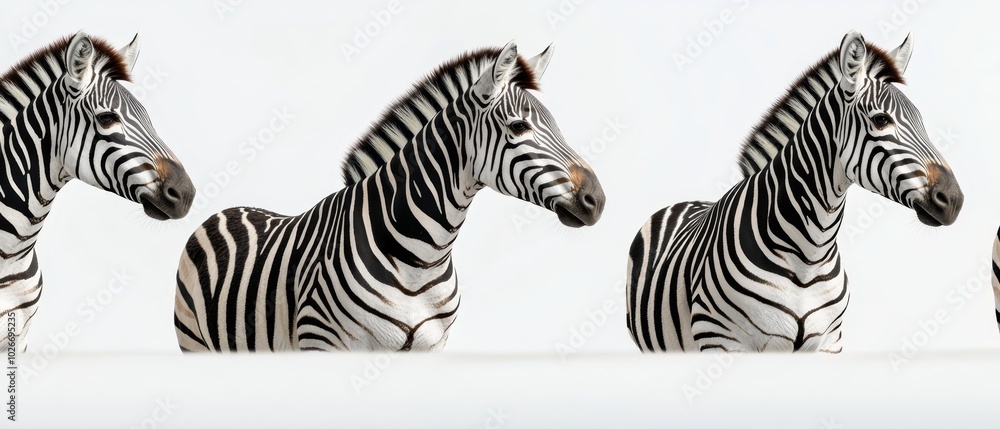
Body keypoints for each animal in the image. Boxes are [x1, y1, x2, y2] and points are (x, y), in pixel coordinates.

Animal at [174, 42, 605, 352]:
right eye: (518, 128)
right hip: (194, 342)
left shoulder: (431, 348)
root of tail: (228, 209)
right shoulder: (322, 344)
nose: (597, 201)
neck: (421, 260)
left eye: (557, 125)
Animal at [625, 30, 964, 353]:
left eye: (922, 122)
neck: (809, 255)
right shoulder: (722, 340)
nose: (954, 201)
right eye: (881, 120)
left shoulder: (829, 342)